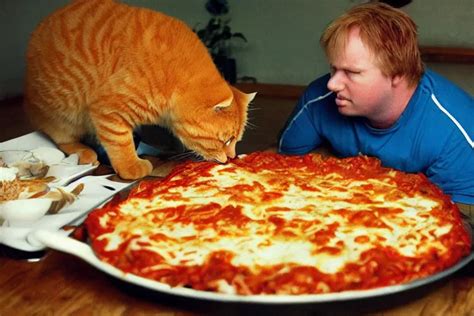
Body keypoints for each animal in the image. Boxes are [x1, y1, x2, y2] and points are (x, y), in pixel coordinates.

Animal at [24, 0, 254, 179]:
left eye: (236, 141)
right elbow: (120, 142)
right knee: (63, 138)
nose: (232, 157)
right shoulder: (108, 110)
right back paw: (83, 152)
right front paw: (131, 166)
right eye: (227, 140)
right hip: (63, 117)